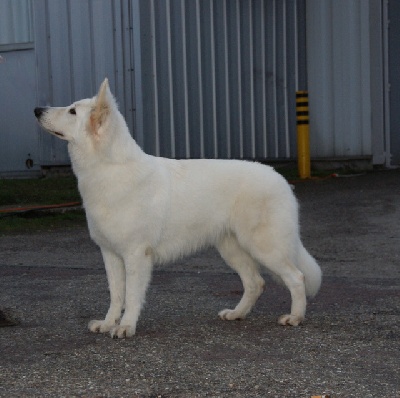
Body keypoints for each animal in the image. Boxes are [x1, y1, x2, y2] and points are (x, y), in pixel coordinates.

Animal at [34, 78, 322, 338]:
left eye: (72, 111)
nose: (37, 110)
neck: (108, 169)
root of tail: (281, 179)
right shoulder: (110, 254)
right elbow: (116, 295)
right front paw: (107, 324)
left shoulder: (136, 254)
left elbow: (132, 295)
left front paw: (126, 327)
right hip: (231, 248)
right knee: (256, 283)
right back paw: (237, 314)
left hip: (264, 247)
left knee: (296, 278)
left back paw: (295, 318)